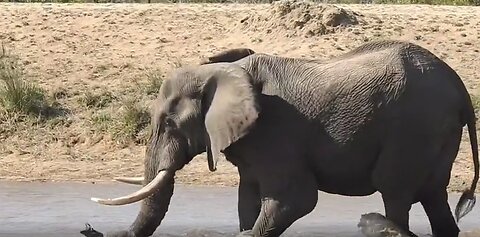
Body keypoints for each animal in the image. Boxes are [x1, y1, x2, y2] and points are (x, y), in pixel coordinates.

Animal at [89, 40, 476, 237]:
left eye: (168, 123)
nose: (92, 231)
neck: (222, 71)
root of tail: (460, 88)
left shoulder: (276, 132)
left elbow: (295, 199)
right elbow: (248, 198)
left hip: (413, 129)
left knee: (395, 192)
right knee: (433, 197)